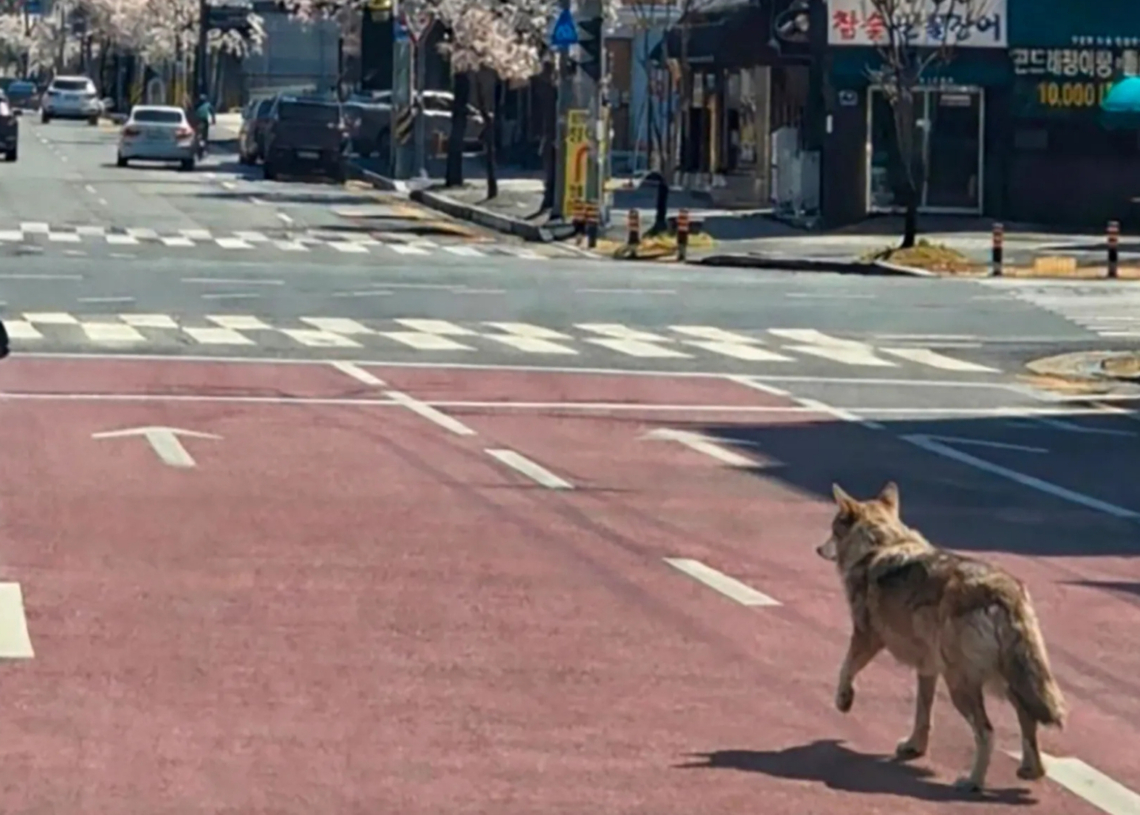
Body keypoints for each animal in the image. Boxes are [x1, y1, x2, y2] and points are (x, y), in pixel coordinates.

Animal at [816, 481, 1067, 792]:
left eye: (832, 529)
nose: (817, 549)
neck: (881, 544)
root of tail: (1004, 592)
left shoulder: (866, 637)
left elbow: (846, 669)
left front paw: (844, 701)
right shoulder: (927, 668)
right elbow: (923, 714)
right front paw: (914, 747)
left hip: (961, 685)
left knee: (987, 732)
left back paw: (973, 782)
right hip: (1006, 681)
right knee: (1028, 719)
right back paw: (1031, 771)